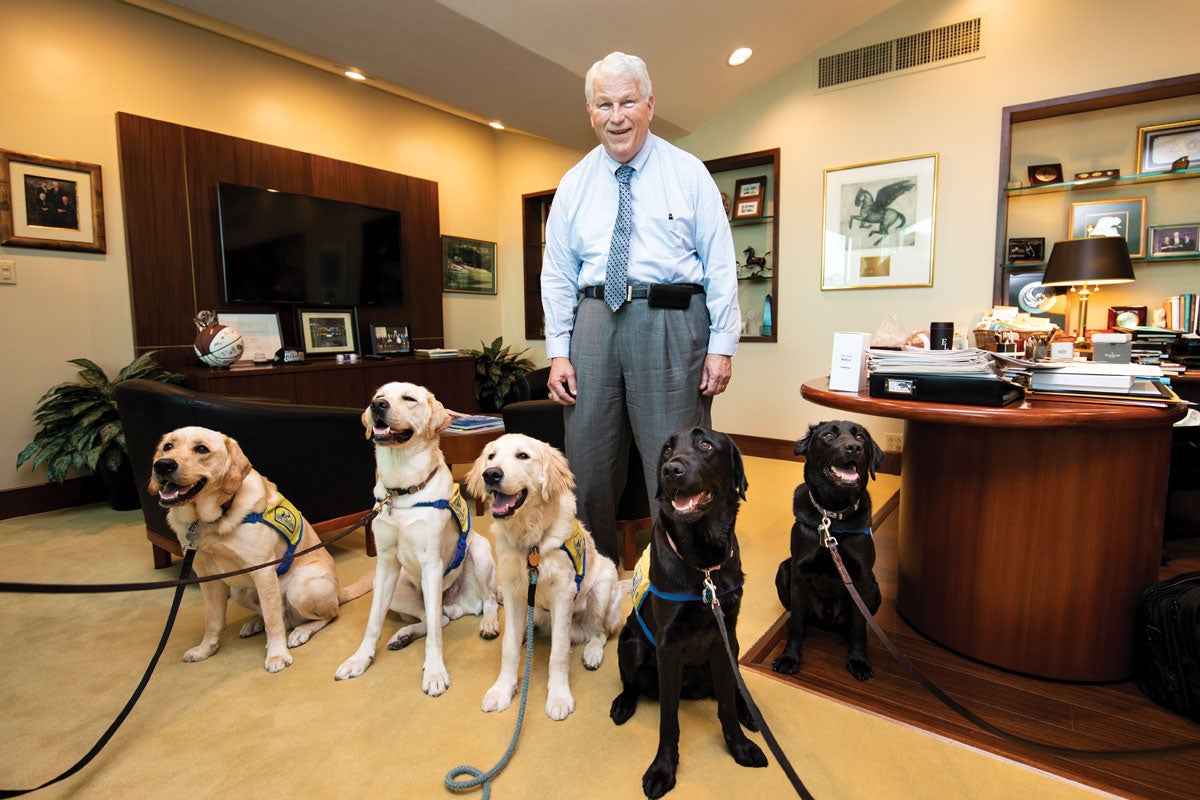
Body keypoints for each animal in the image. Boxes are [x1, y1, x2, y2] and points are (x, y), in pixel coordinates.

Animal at [149, 429, 367, 671]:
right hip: (240, 591)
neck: (212, 520)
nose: (163, 465)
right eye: (168, 447)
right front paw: (205, 650)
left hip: (300, 586)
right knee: (280, 615)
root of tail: (339, 592)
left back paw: (300, 631)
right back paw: (255, 623)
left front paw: (277, 655)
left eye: (202, 449)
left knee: (325, 614)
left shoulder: (263, 570)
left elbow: (273, 621)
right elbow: (213, 620)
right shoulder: (207, 577)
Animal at [333, 381, 496, 695]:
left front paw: (434, 672)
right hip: (399, 588)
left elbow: (434, 633)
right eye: (377, 397)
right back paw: (403, 635)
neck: (401, 491)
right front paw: (360, 659)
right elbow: (373, 621)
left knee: (485, 602)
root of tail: (456, 604)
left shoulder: (431, 564)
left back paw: (489, 624)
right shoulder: (385, 563)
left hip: (480, 554)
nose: (377, 406)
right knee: (438, 618)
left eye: (409, 399)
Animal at [465, 434, 624, 724]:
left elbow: (558, 653)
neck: (531, 544)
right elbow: (509, 647)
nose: (490, 474)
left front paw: (559, 697)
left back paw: (592, 652)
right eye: (491, 456)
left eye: (523, 456)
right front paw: (502, 690)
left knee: (601, 631)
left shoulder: (563, 594)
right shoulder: (514, 591)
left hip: (604, 585)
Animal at [609, 429, 768, 796]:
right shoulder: (669, 647)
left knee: (733, 689)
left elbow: (726, 705)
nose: (671, 470)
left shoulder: (724, 639)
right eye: (667, 450)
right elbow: (669, 719)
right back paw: (624, 702)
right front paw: (663, 769)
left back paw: (749, 711)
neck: (703, 560)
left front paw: (739, 747)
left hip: (732, 648)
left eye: (705, 445)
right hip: (630, 643)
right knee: (630, 680)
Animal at [772, 419, 888, 681]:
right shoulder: (799, 571)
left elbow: (859, 625)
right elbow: (796, 621)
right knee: (799, 617)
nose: (854, 447)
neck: (832, 515)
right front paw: (789, 657)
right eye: (828, 435)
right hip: (783, 570)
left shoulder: (862, 576)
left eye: (861, 437)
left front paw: (859, 660)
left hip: (874, 589)